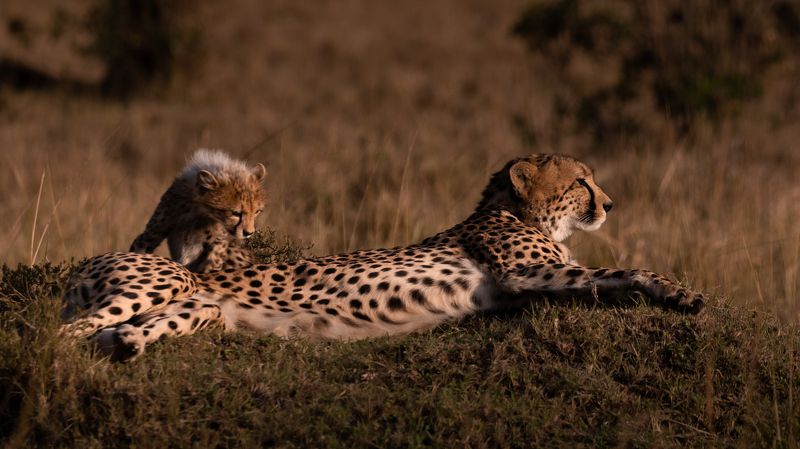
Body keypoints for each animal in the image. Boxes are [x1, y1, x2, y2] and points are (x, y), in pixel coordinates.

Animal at [129, 149, 266, 273]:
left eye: (257, 212)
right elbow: (140, 248)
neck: (199, 211)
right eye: (236, 213)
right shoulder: (153, 232)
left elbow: (211, 264)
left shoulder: (218, 244)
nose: (248, 233)